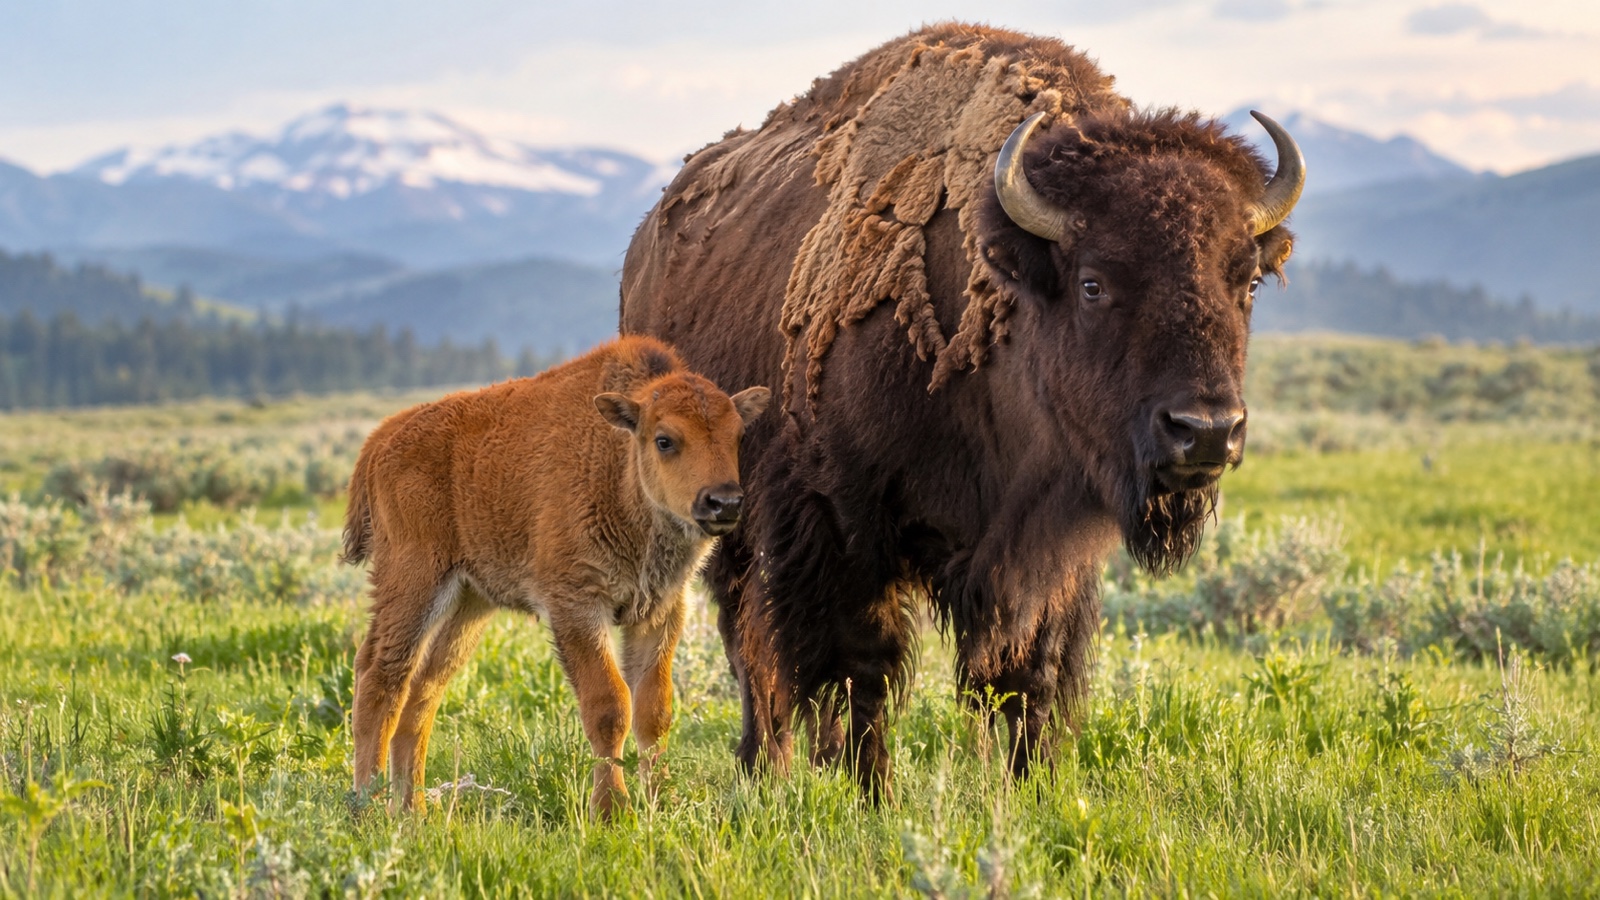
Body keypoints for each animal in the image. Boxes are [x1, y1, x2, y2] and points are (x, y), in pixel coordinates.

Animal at [342, 336, 770, 819]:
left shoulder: (658, 613)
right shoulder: (577, 605)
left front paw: (662, 801)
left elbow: (653, 712)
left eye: (737, 437)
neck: (616, 462)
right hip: (413, 582)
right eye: (665, 440)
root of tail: (382, 438)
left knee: (424, 687)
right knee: (380, 674)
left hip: (469, 602)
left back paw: (413, 809)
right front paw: (612, 809)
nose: (724, 502)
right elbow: (609, 706)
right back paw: (369, 804)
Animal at [619, 23, 1304, 797]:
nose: (1207, 433)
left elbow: (1029, 674)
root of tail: (648, 241)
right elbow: (863, 667)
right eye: (1093, 283)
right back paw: (767, 766)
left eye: (1248, 282)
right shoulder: (843, 520)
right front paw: (873, 795)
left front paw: (1033, 787)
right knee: (749, 640)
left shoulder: (1046, 553)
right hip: (723, 518)